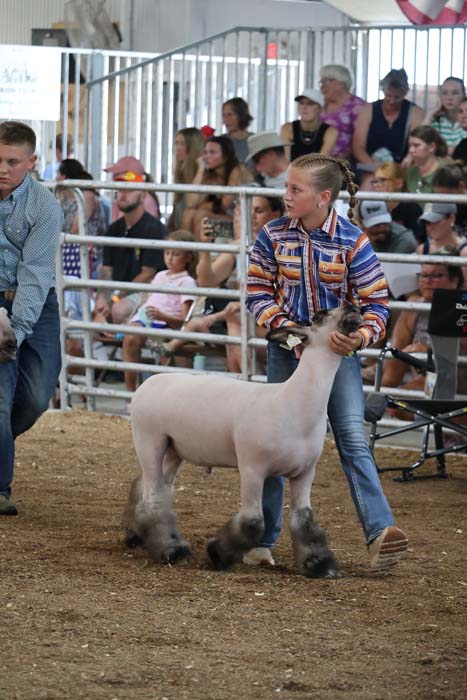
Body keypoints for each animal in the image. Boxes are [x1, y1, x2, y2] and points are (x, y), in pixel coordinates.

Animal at [123, 304, 363, 578]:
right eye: (320, 315)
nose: (354, 307)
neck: (293, 402)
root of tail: (147, 382)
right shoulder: (252, 467)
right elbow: (253, 521)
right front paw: (218, 554)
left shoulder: (305, 471)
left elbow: (304, 519)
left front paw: (320, 565)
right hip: (149, 440)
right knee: (152, 499)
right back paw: (172, 550)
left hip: (174, 450)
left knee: (148, 487)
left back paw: (135, 536)